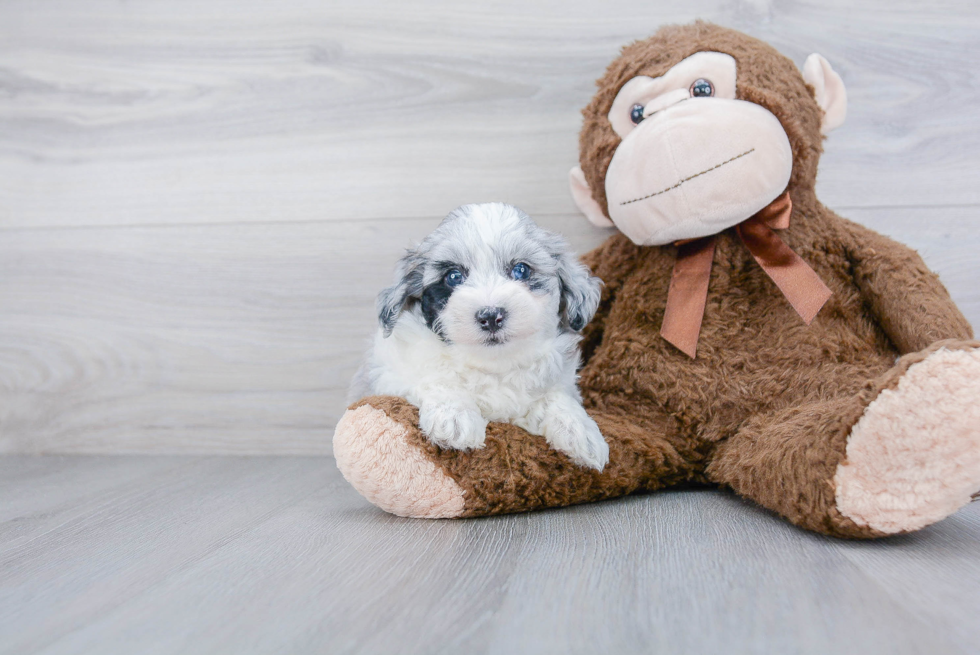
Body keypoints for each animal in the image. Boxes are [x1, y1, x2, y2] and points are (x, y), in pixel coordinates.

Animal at [348, 202, 608, 468]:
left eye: (521, 270)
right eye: (453, 276)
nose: (491, 316)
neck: (492, 364)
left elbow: (558, 397)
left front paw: (580, 431)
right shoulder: (389, 374)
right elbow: (437, 378)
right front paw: (454, 417)